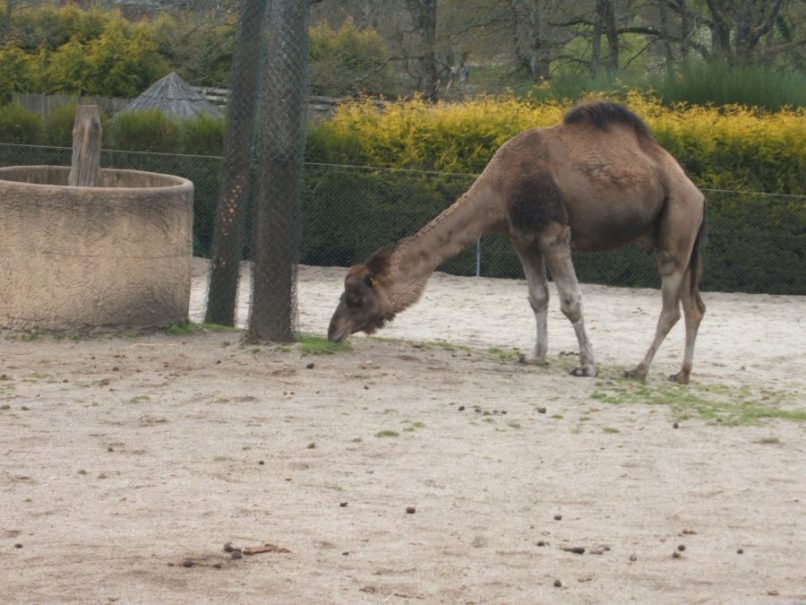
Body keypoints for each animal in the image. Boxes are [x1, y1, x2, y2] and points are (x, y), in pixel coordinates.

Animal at [328, 99, 708, 382]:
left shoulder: (554, 232)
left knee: (671, 308)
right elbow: (538, 297)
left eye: (356, 297)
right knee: (694, 306)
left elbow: (571, 300)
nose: (332, 332)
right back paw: (682, 375)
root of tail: (698, 194)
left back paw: (639, 370)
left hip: (676, 228)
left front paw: (586, 366)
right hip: (682, 239)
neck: (500, 187)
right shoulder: (521, 237)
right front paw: (535, 357)